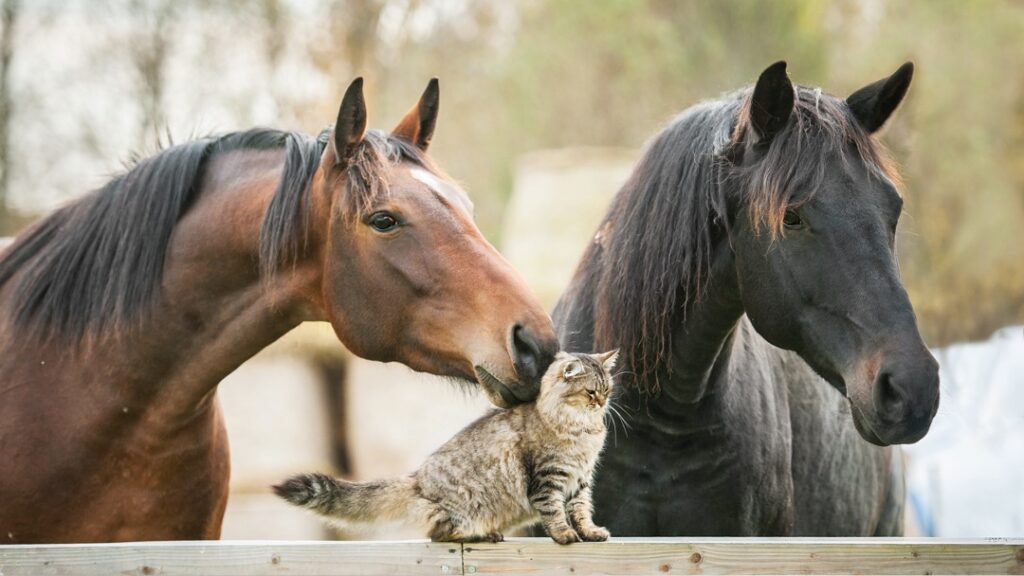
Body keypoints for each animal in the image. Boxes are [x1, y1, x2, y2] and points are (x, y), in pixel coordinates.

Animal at [272, 348, 618, 541]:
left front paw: (590, 534)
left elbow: (581, 511)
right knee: (437, 534)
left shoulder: (580, 481)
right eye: (590, 392)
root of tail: (416, 480)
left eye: (608, 389)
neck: (582, 429)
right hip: (459, 509)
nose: (603, 402)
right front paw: (566, 536)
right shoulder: (548, 479)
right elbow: (556, 513)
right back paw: (481, 536)